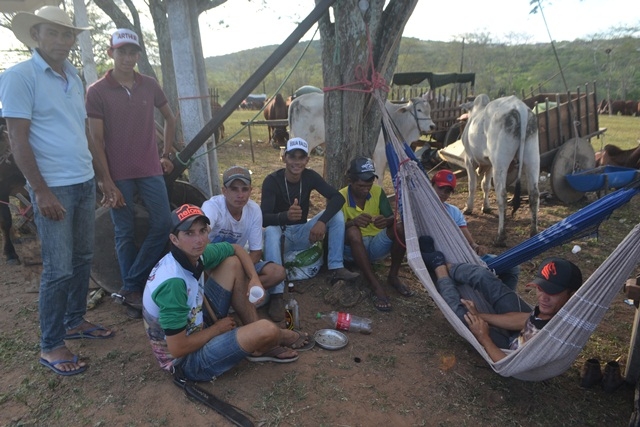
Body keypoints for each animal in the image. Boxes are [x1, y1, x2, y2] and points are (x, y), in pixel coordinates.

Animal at [288, 92, 435, 184]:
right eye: (419, 110)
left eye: (429, 110)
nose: (432, 126)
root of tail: (296, 101)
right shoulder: (380, 154)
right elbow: (380, 176)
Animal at [461, 94, 540, 246]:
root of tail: (520, 108)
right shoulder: (489, 164)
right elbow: (485, 185)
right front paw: (486, 207)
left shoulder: (469, 160)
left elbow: (472, 185)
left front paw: (468, 208)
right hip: (532, 156)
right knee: (534, 194)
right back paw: (533, 233)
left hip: (500, 161)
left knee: (502, 195)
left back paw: (500, 237)